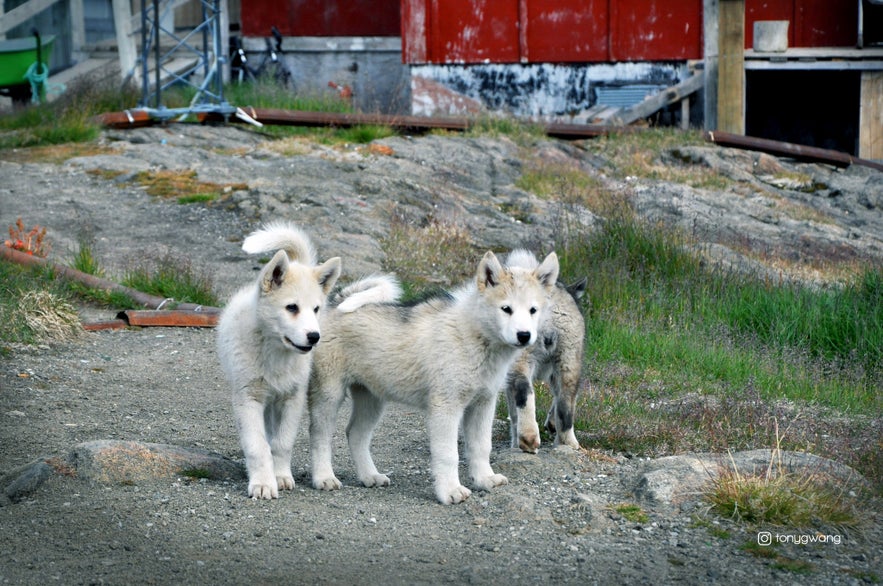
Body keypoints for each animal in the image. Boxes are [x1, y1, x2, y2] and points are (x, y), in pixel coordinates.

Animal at [218, 222, 342, 498]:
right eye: (291, 307)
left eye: (316, 309)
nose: (314, 337)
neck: (275, 351)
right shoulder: (248, 398)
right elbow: (257, 445)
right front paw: (263, 483)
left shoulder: (292, 398)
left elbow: (282, 442)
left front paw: (281, 476)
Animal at [310, 248, 560, 502]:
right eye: (506, 309)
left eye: (533, 310)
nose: (524, 335)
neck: (474, 336)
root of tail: (335, 303)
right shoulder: (446, 407)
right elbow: (448, 454)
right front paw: (450, 490)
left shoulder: (483, 404)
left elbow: (481, 446)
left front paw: (484, 479)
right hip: (329, 395)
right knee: (320, 436)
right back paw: (324, 478)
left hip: (372, 398)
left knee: (355, 434)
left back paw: (370, 476)